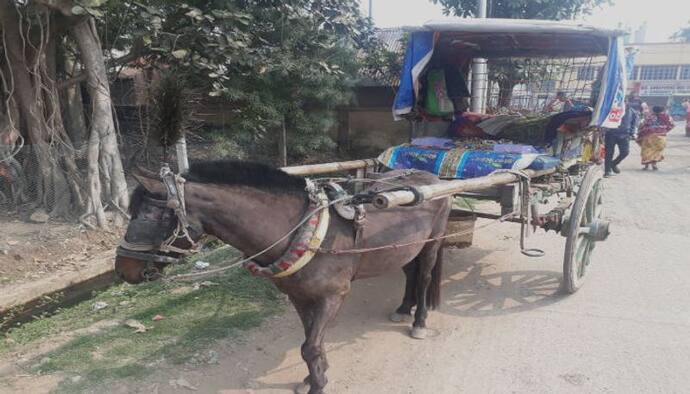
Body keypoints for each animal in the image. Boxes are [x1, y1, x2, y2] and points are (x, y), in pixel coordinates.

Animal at [115, 161, 448, 394]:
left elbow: (310, 346)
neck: (304, 230)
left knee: (424, 278)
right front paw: (315, 376)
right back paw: (403, 308)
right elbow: (310, 343)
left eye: (151, 216)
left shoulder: (334, 296)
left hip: (433, 242)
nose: (122, 270)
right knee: (410, 273)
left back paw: (419, 321)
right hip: (404, 249)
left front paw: (318, 384)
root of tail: (432, 178)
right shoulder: (299, 296)